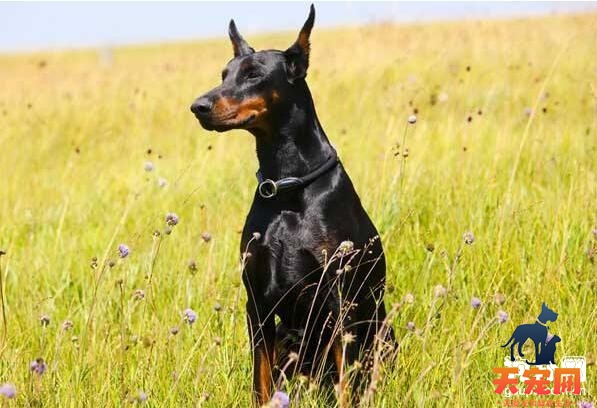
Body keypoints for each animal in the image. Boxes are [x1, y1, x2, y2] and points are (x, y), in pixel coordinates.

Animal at [191, 4, 396, 406]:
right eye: (224, 74)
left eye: (254, 74)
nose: (198, 107)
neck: (286, 188)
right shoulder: (256, 303)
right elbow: (260, 382)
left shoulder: (338, 300)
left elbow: (346, 384)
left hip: (379, 332)